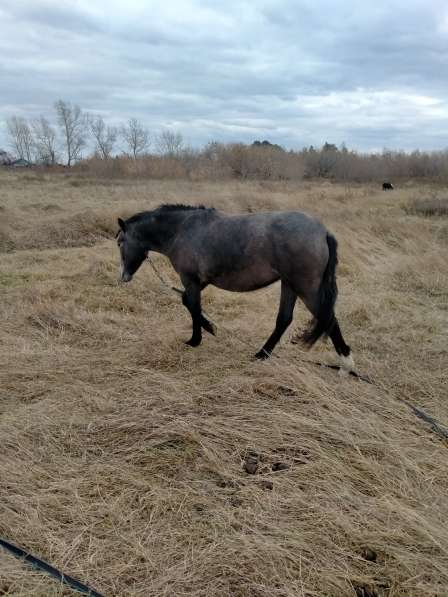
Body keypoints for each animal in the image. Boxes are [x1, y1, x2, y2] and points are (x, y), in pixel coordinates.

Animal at [117, 205, 356, 372]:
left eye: (120, 242)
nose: (124, 277)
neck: (182, 230)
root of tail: (323, 232)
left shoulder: (190, 280)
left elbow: (192, 306)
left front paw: (196, 339)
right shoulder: (200, 282)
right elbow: (188, 303)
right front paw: (209, 328)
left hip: (306, 288)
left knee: (327, 318)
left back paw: (346, 364)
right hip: (289, 285)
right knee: (284, 320)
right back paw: (262, 354)